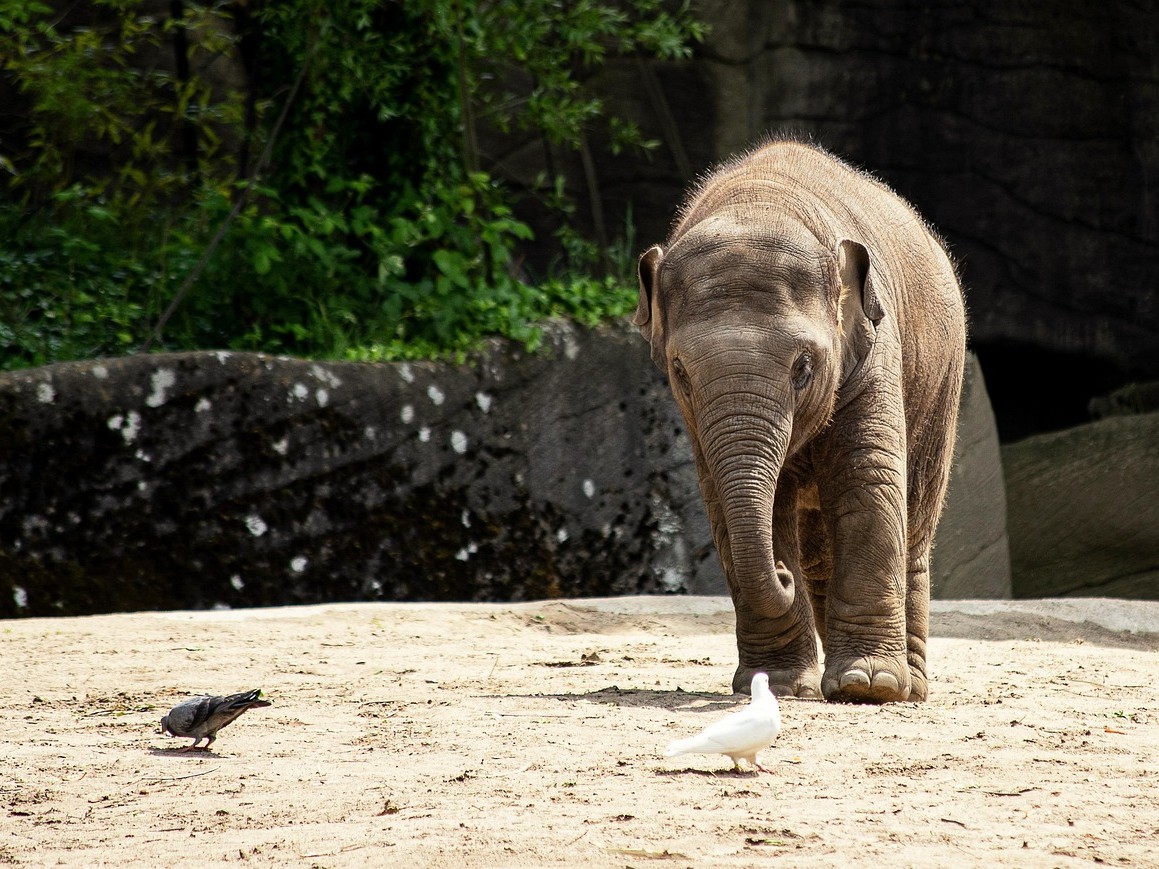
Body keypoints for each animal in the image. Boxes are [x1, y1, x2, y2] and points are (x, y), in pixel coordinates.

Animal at [635, 138, 966, 703]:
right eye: (679, 370)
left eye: (804, 366)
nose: (780, 573)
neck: (757, 203)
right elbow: (730, 503)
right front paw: (780, 686)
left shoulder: (874, 351)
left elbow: (866, 482)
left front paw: (868, 686)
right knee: (817, 547)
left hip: (943, 380)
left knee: (915, 519)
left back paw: (907, 686)